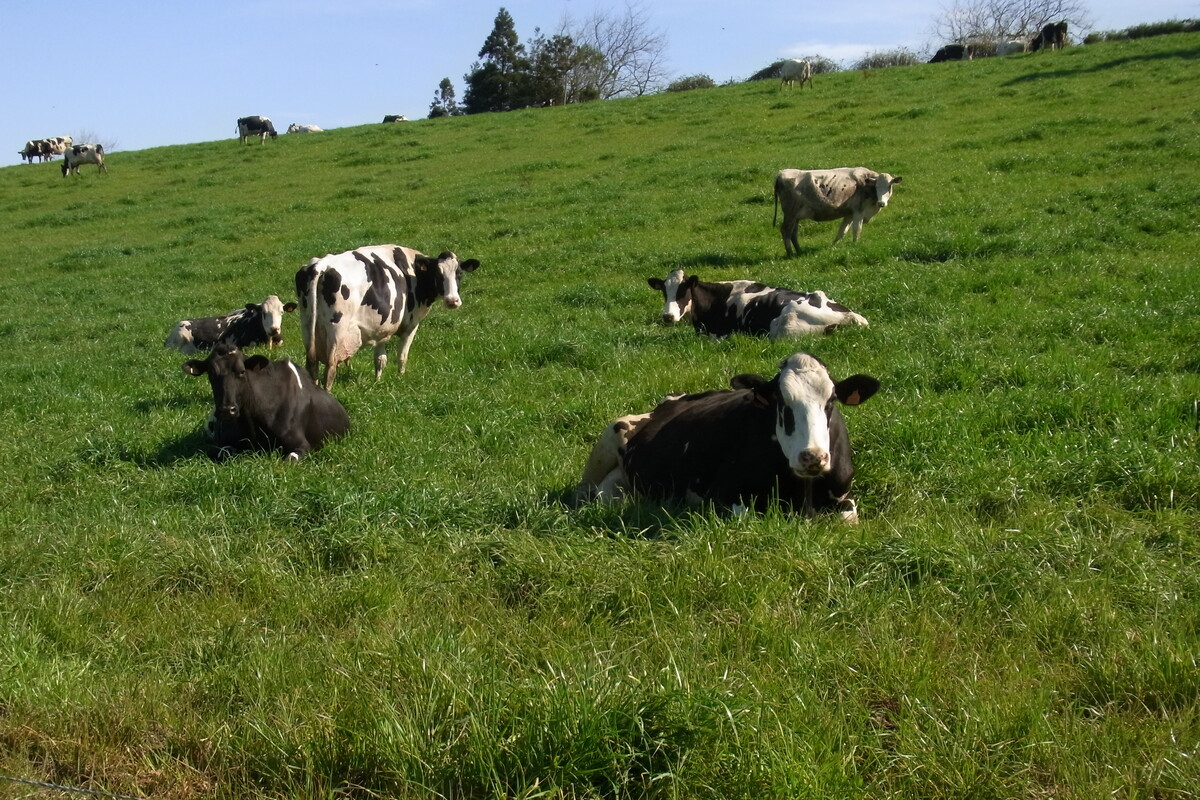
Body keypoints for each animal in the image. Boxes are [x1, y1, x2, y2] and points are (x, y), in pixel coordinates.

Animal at [183, 343, 350, 461]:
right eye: (211, 373)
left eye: (242, 371)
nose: (226, 410)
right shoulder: (225, 442)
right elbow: (224, 454)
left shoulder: (301, 445)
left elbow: (290, 459)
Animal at [295, 245, 481, 389]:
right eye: (438, 275)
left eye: (459, 274)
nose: (452, 300)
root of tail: (322, 265)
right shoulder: (411, 325)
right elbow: (402, 356)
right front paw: (401, 377)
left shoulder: (382, 328)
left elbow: (380, 359)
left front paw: (377, 381)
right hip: (337, 330)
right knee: (330, 369)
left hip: (307, 327)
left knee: (312, 365)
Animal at [575, 353, 880, 522]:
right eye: (781, 401)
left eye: (831, 401)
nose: (812, 457)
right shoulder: (720, 495)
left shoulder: (844, 496)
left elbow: (848, 519)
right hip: (610, 435)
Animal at [773, 167, 903, 252]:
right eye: (876, 187)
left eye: (889, 186)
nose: (881, 203)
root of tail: (780, 173)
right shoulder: (859, 211)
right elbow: (857, 229)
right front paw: (855, 245)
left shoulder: (849, 213)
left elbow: (842, 231)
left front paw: (833, 246)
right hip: (790, 214)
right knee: (786, 231)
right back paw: (790, 253)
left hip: (796, 216)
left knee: (793, 233)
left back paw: (799, 251)